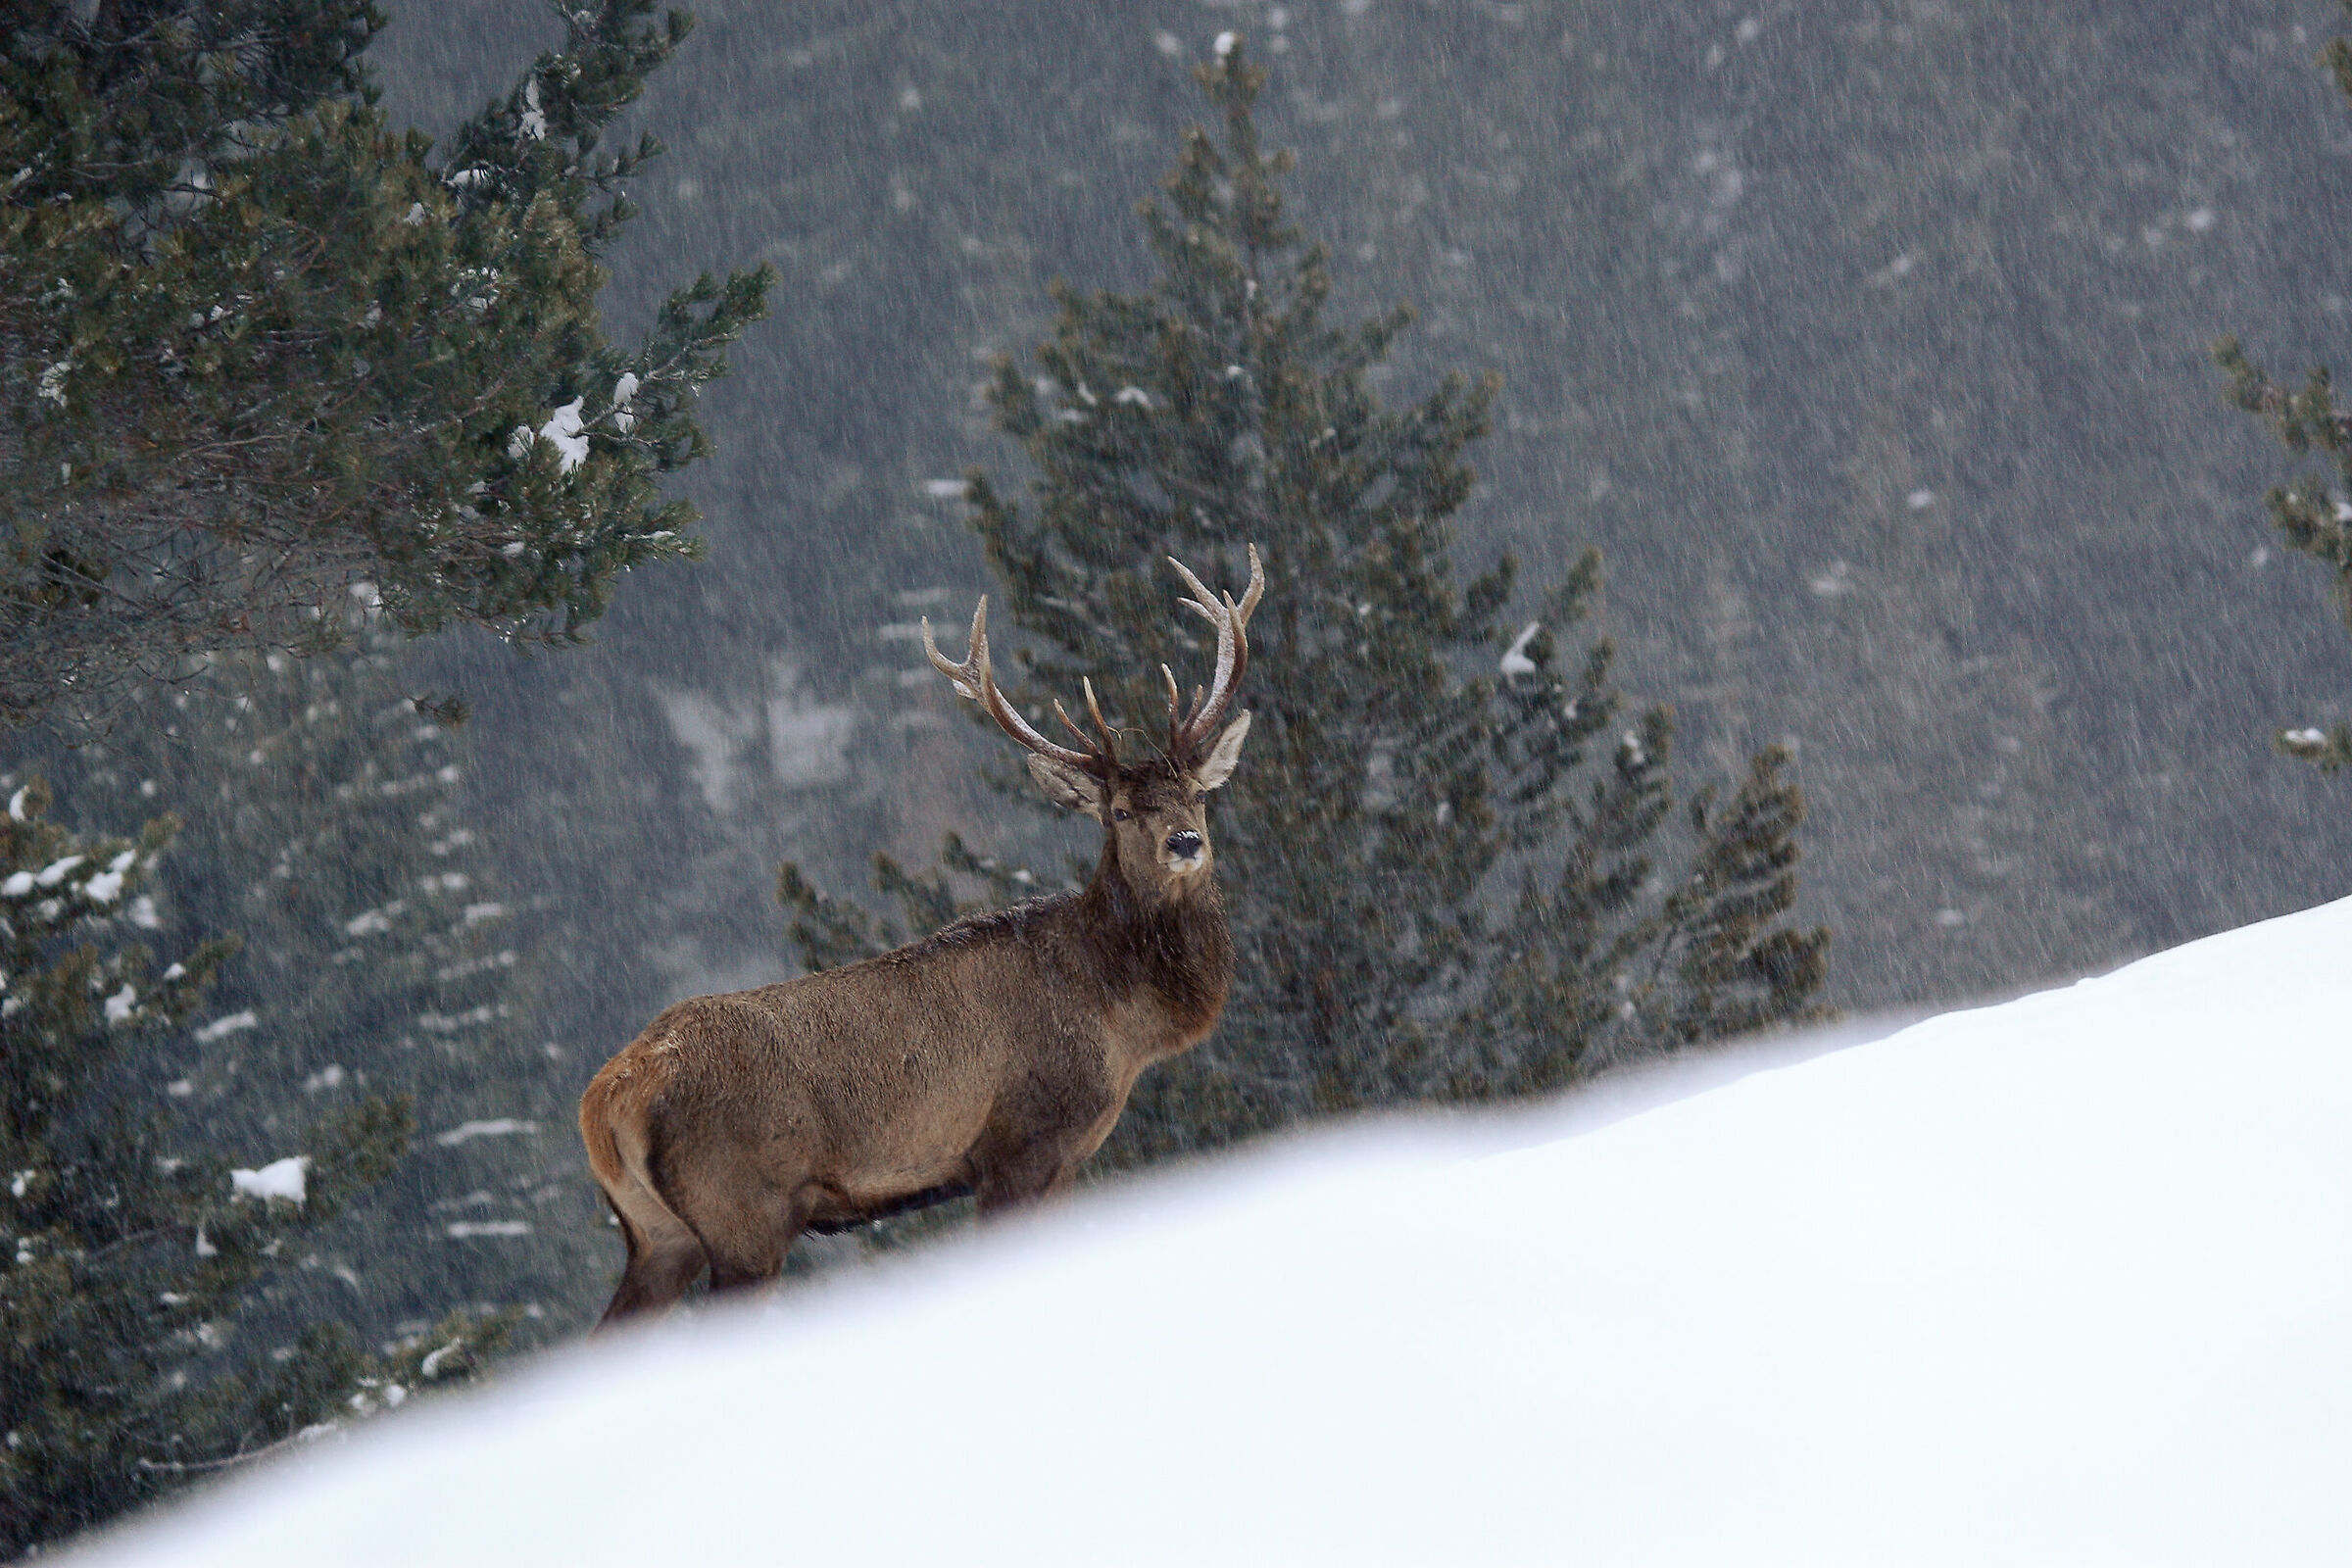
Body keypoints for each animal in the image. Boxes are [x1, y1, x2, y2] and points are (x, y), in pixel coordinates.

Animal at [578, 548, 1264, 1325]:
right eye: (1118, 810)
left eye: (1198, 794)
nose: (1184, 842)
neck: (1120, 1021)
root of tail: (607, 1097)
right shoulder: (1020, 1144)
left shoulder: (1060, 1161)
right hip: (743, 1213)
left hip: (657, 1234)